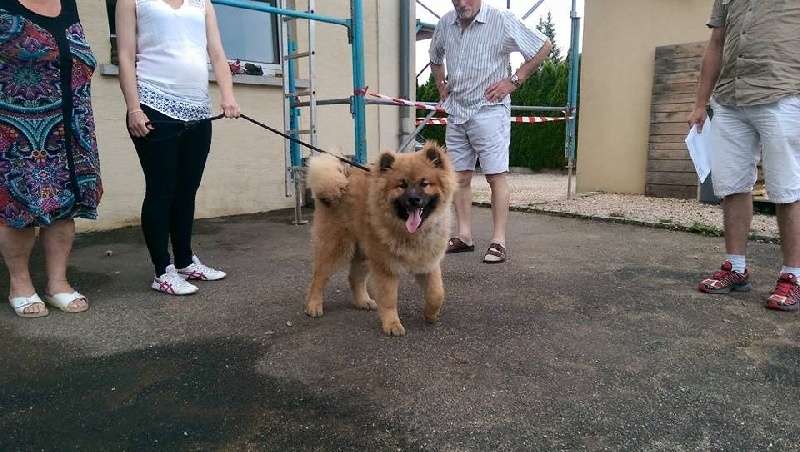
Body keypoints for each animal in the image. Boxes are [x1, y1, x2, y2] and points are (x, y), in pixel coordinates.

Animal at [306, 143, 454, 338]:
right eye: (402, 185)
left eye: (424, 183)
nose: (414, 199)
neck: (411, 233)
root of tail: (341, 180)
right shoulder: (385, 267)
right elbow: (389, 298)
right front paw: (392, 324)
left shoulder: (428, 264)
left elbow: (437, 293)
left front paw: (430, 314)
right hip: (335, 247)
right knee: (319, 277)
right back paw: (313, 305)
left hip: (364, 253)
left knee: (354, 278)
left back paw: (363, 301)